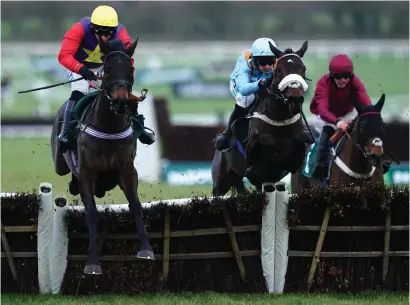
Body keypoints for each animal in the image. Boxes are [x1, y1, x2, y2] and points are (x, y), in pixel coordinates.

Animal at [51, 37, 154, 274]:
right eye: (107, 69)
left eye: (130, 68)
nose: (121, 101)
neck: (109, 127)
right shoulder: (88, 172)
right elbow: (91, 212)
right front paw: (92, 261)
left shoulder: (127, 170)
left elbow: (135, 205)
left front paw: (146, 249)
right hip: (59, 163)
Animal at [211, 41, 314, 195]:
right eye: (279, 71)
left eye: (303, 70)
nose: (295, 99)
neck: (279, 120)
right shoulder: (254, 156)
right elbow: (264, 145)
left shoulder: (293, 161)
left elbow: (296, 149)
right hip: (221, 180)